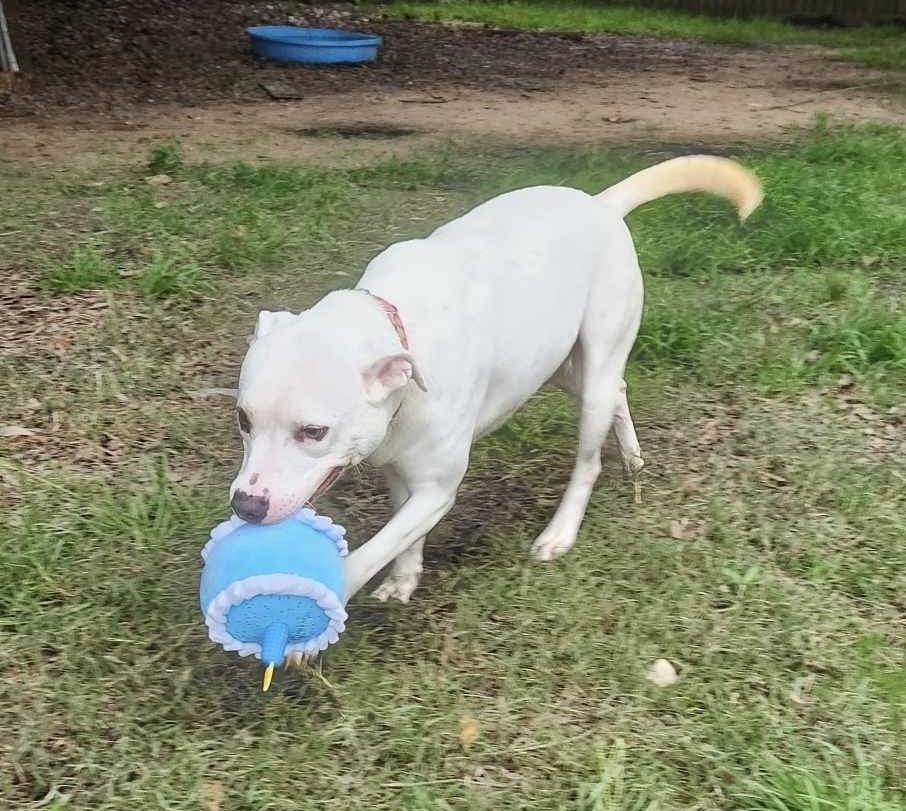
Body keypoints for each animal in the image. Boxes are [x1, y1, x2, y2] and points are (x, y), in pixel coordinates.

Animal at [230, 155, 760, 604]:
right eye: (243, 420)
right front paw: (405, 578)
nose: (246, 506)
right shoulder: (401, 470)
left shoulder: (437, 489)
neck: (401, 329)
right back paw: (632, 458)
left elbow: (375, 549)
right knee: (619, 391)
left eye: (314, 432)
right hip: (564, 368)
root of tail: (600, 203)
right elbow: (402, 534)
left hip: (596, 367)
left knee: (589, 460)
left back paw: (560, 532)